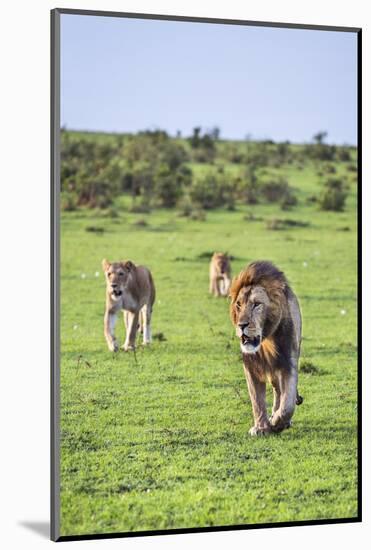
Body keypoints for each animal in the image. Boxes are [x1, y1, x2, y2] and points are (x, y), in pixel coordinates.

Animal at [230, 260, 306, 438]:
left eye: (257, 304)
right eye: (238, 305)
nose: (241, 325)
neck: (266, 342)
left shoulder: (288, 364)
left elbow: (287, 405)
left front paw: (278, 423)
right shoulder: (250, 367)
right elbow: (257, 400)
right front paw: (261, 427)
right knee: (276, 389)